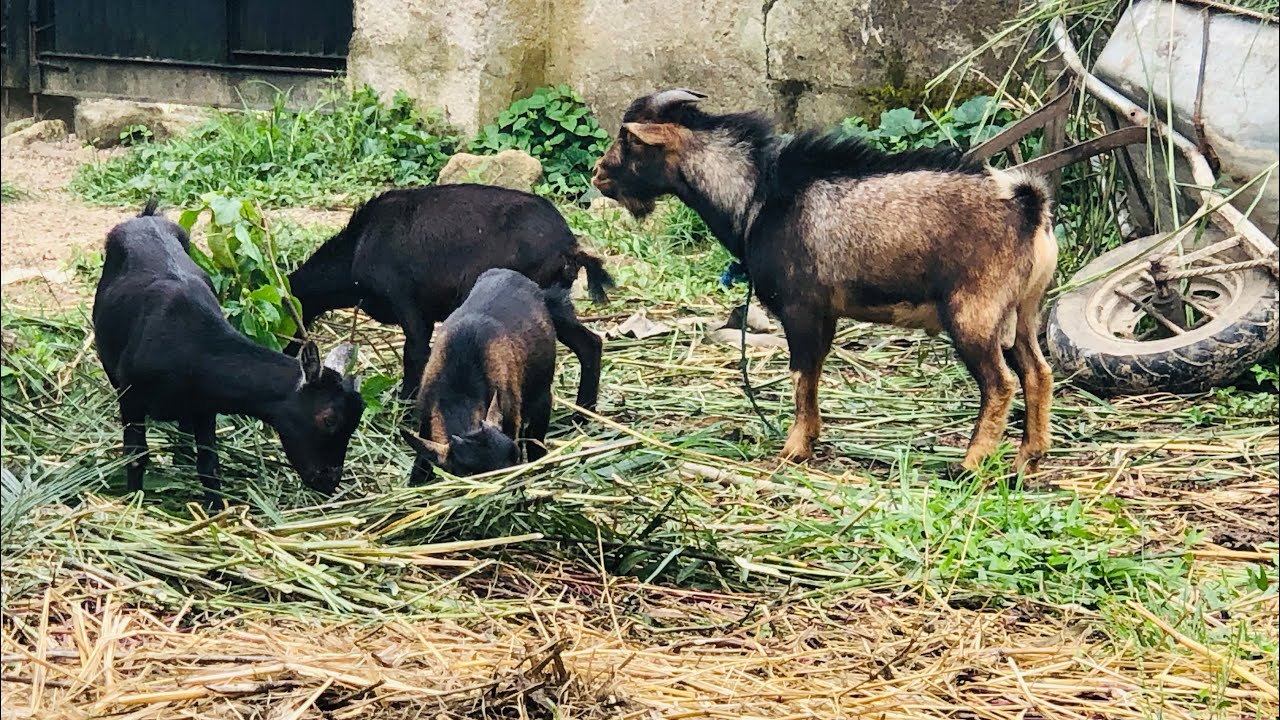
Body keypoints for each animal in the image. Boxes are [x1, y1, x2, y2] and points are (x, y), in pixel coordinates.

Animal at [93, 200, 366, 505]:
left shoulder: (203, 406)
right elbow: (136, 456)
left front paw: (214, 509)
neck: (189, 350)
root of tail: (146, 217)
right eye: (328, 419)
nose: (329, 481)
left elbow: (209, 465)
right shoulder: (131, 397)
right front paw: (134, 501)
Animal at [286, 184, 614, 399]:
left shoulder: (406, 303)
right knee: (590, 344)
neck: (358, 246)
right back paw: (583, 413)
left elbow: (415, 353)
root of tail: (568, 245)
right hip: (557, 306)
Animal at [591, 90, 1058, 472]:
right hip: (1021, 312)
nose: (598, 174)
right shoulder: (825, 312)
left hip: (974, 313)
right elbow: (813, 373)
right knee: (1037, 372)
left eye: (629, 140)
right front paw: (810, 442)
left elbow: (800, 375)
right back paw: (1027, 459)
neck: (758, 197)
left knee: (1000, 383)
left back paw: (970, 464)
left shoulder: (799, 306)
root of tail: (1029, 206)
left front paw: (792, 450)